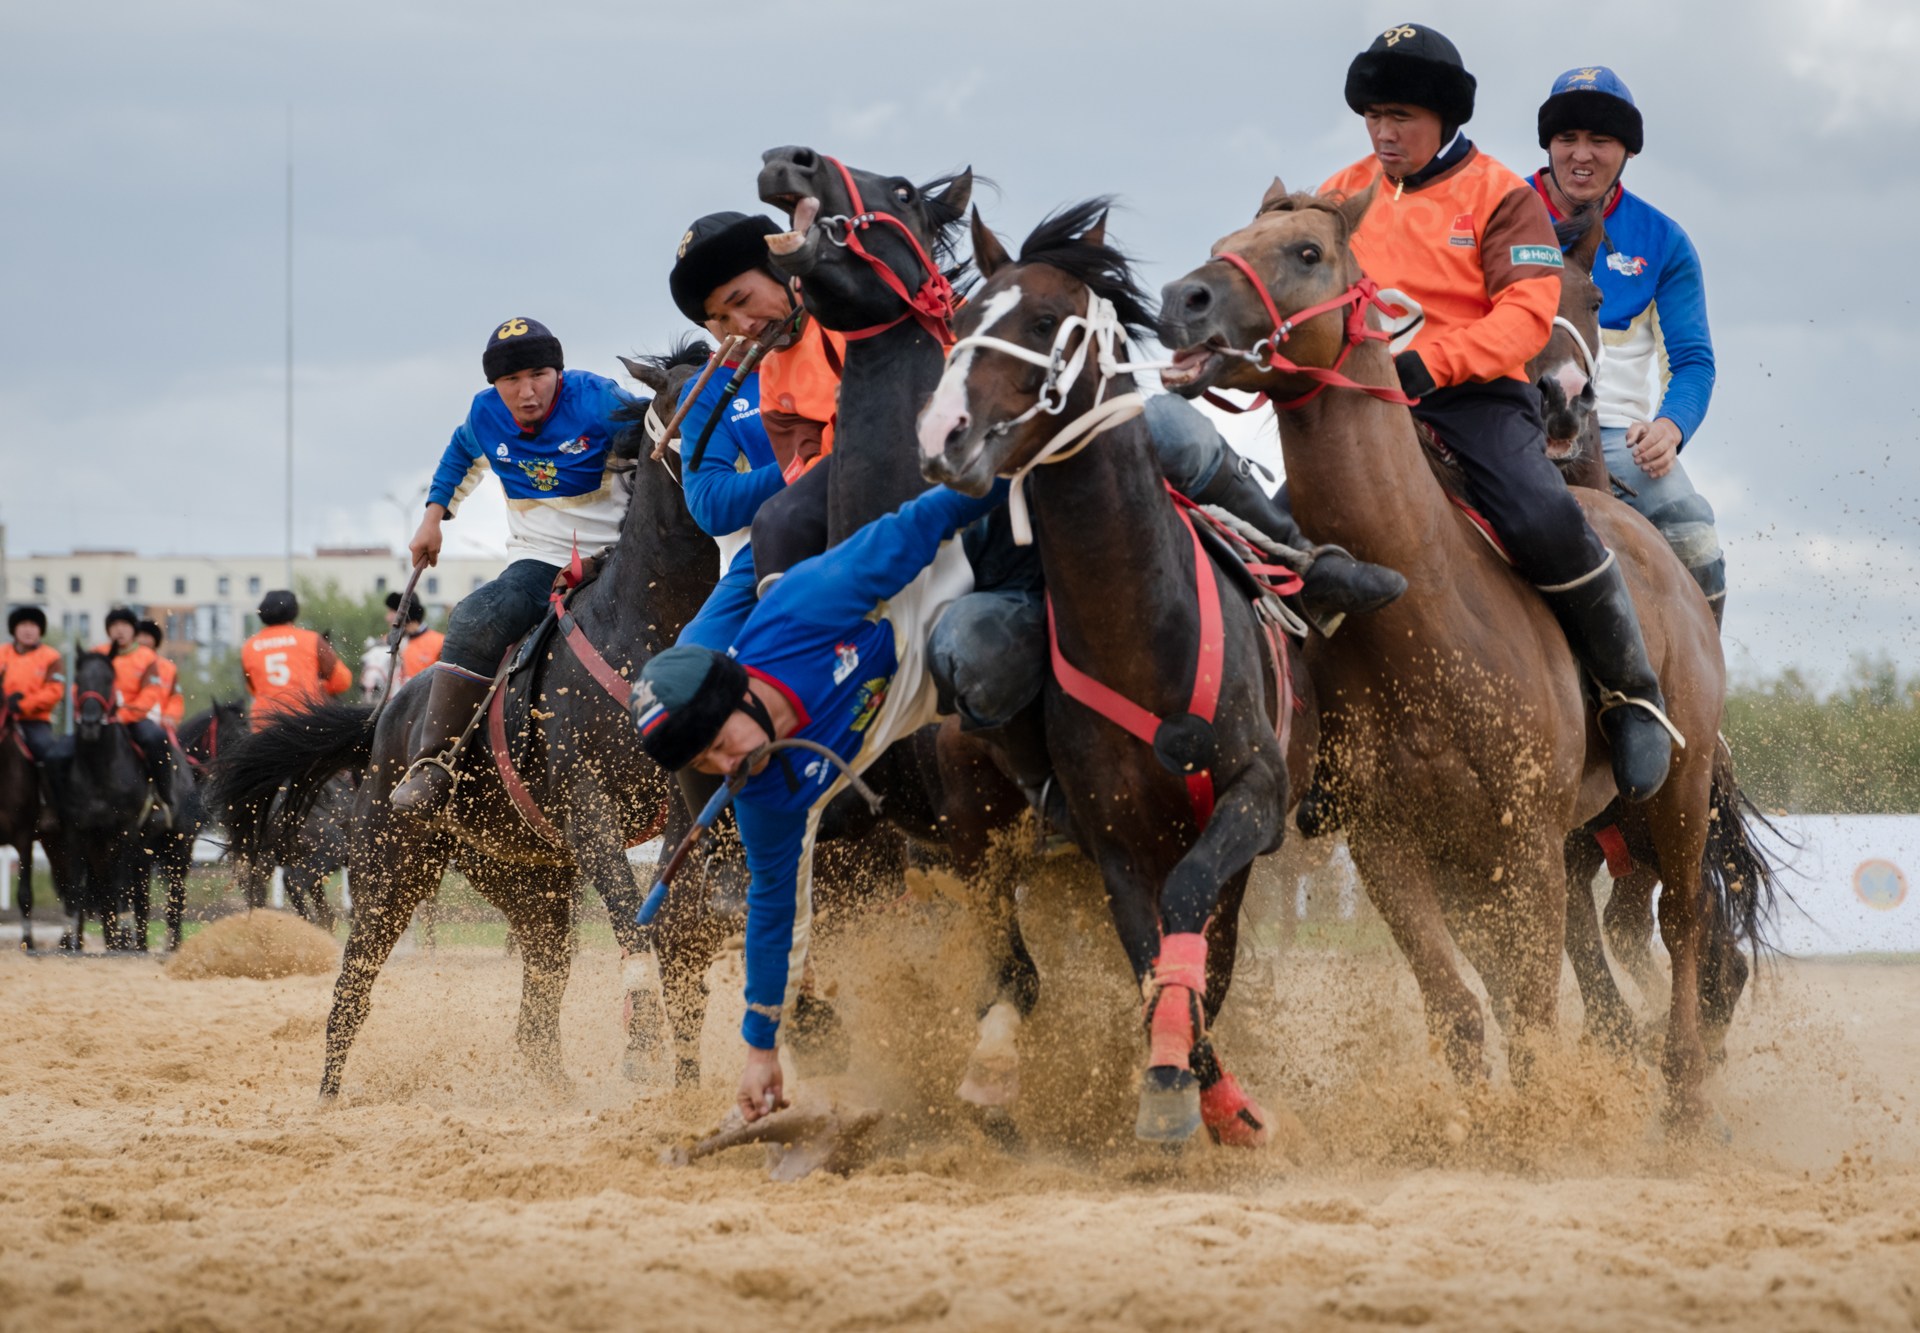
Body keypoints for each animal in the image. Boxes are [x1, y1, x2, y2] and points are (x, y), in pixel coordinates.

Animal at [212, 349, 721, 1098]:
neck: (645, 625)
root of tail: (384, 723)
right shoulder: (589, 807)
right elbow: (633, 914)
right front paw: (643, 1045)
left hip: (530, 884)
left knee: (537, 1012)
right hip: (390, 871)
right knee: (352, 985)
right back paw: (329, 1095)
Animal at [917, 203, 1320, 1152]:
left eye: (1041, 323)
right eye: (962, 318)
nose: (943, 433)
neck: (1141, 633)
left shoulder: (1253, 798)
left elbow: (1189, 923)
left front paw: (1202, 1092)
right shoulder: (1112, 842)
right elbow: (1150, 951)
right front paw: (1180, 1084)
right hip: (974, 822)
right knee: (1012, 958)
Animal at [1152, 182, 1766, 1129]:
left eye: (1306, 253)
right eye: (1227, 241)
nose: (1182, 301)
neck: (1427, 612)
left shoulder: (1530, 843)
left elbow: (1536, 1010)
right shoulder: (1392, 845)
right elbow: (1461, 1009)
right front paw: (1487, 1130)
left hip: (1678, 790)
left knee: (1689, 926)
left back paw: (1687, 1092)